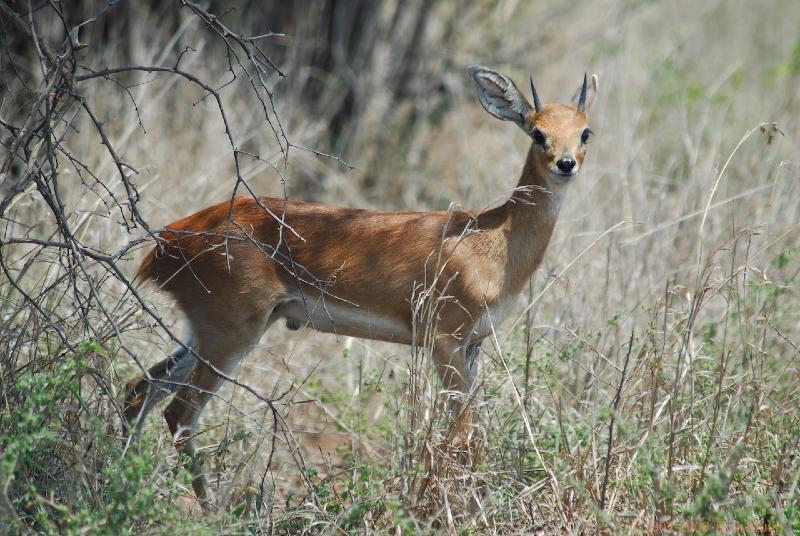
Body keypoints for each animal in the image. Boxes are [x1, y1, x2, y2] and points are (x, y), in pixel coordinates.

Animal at [125, 66, 596, 498]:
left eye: (585, 131)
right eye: (537, 132)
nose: (566, 164)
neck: (492, 238)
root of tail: (168, 241)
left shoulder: (473, 344)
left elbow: (468, 433)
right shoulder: (443, 339)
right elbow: (464, 435)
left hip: (203, 333)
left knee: (139, 391)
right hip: (231, 334)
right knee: (180, 414)